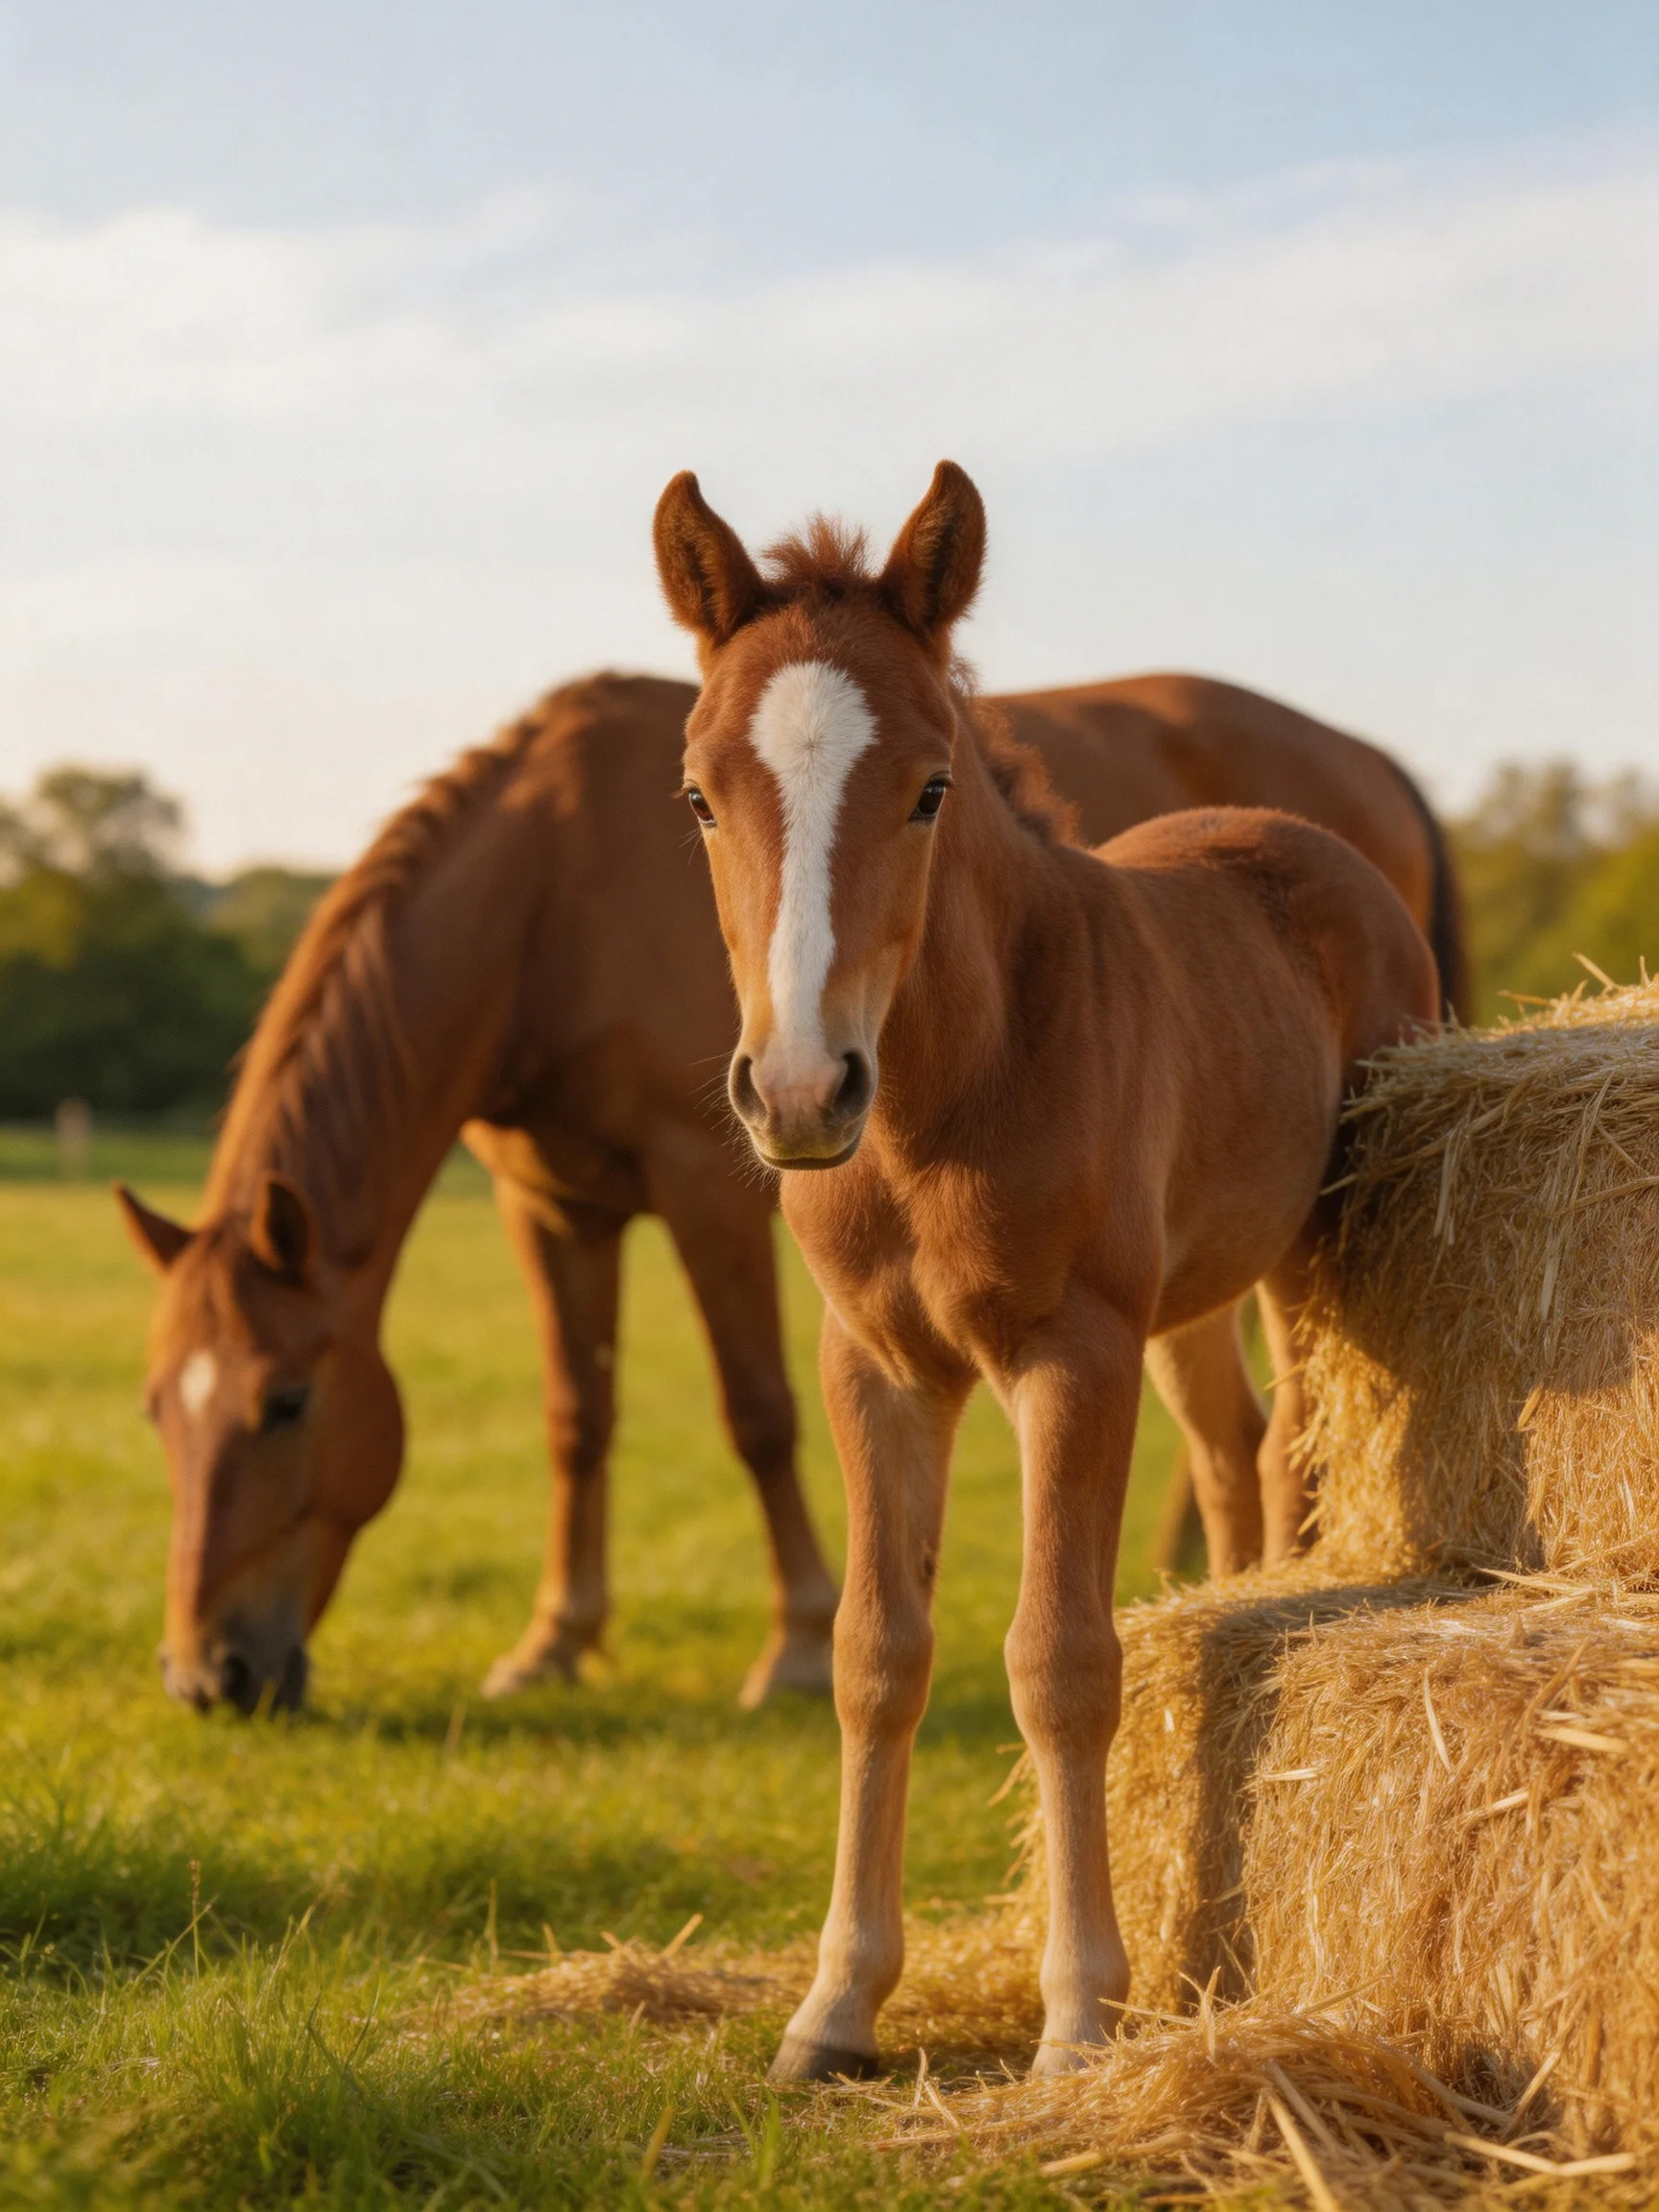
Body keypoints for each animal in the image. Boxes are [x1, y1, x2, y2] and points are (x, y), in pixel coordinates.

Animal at [117, 677, 1459, 1720]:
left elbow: (756, 1413)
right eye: (155, 1412)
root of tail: (1366, 760)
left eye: (286, 1403)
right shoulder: (549, 1204)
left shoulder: (709, 1180)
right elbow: (575, 1418)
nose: (207, 1676)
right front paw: (554, 1643)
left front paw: (801, 1643)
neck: (552, 896)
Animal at [653, 460, 1438, 2077]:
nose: (801, 1089)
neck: (942, 1096)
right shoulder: (878, 1365)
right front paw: (836, 2006)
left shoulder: (1070, 1351)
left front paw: (1080, 2012)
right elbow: (875, 1655)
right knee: (1234, 1447)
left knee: (1300, 1442)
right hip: (1188, 1304)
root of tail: (1307, 833)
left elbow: (1062, 1661)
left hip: (1316, 1258)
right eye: (699, 794)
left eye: (930, 787)